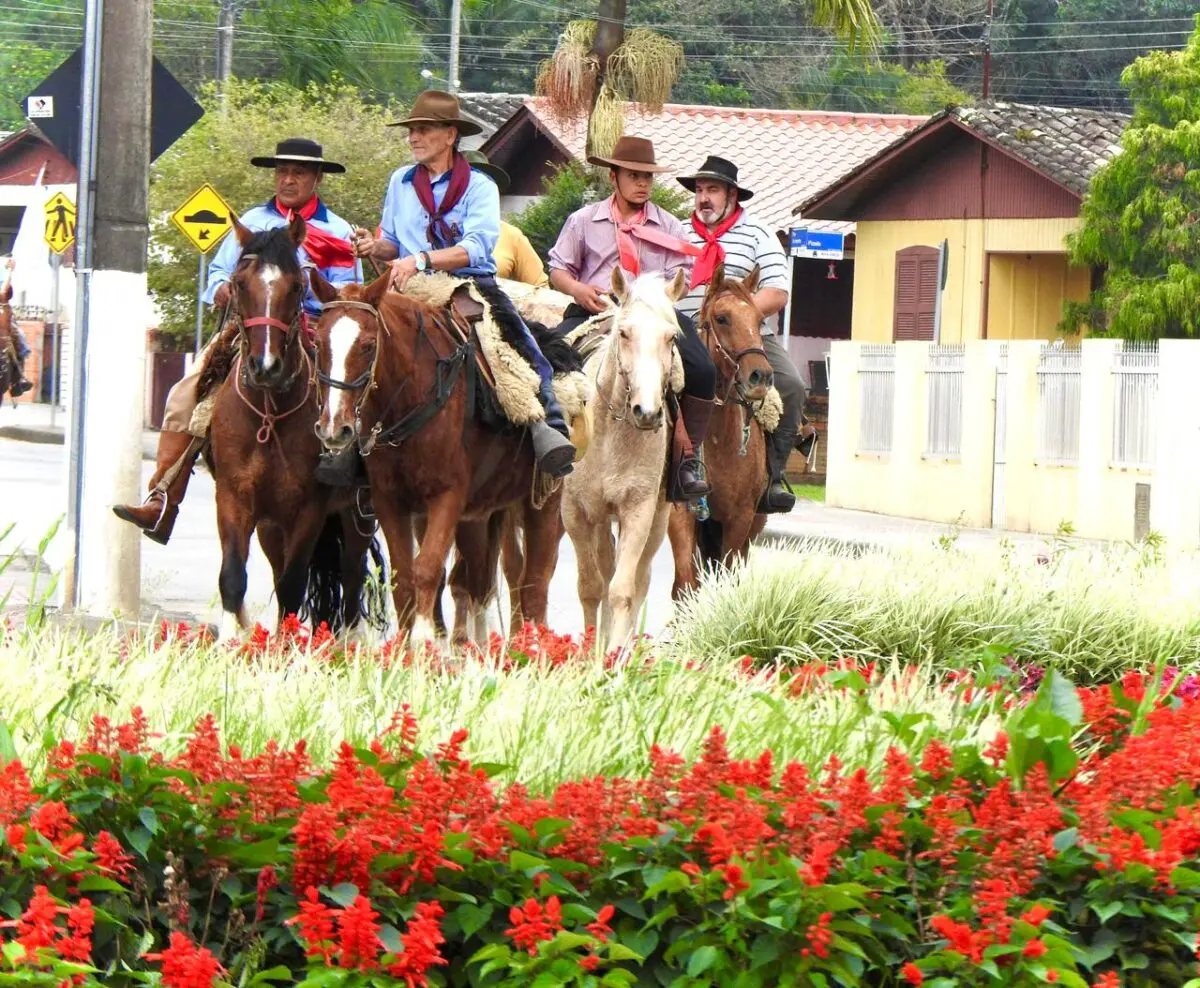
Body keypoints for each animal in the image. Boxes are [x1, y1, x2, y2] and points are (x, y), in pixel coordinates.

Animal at [206, 218, 381, 643]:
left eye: (298, 286)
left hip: (358, 514)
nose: (265, 366)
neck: (271, 415)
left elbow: (292, 583)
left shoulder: (308, 511)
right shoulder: (234, 498)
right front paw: (231, 640)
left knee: (351, 575)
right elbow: (233, 577)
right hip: (271, 526)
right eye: (238, 283)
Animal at [312, 270, 568, 643]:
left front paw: (422, 642)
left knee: (534, 584)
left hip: (543, 503)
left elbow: (428, 569)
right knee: (479, 580)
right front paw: (406, 646)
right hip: (480, 517)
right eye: (317, 343)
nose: (334, 427)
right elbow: (404, 578)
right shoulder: (390, 501)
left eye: (368, 345)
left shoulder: (446, 497)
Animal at [559, 266, 686, 643]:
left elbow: (622, 590)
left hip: (658, 519)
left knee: (639, 579)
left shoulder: (638, 511)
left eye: (671, 338)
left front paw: (615, 653)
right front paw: (591, 649)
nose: (647, 412)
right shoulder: (575, 512)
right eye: (625, 333)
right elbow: (590, 586)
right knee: (602, 569)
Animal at [672, 262, 772, 597]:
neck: (715, 439)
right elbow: (685, 584)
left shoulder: (740, 518)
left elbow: (728, 578)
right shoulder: (682, 513)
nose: (760, 376)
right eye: (722, 318)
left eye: (759, 319)